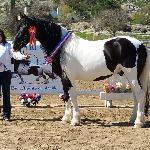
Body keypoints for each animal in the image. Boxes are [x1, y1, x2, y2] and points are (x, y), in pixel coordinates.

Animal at [12, 13, 150, 127]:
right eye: (18, 27)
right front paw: (66, 118)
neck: (63, 48)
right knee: (136, 95)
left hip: (131, 75)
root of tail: (141, 45)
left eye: (25, 28)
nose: (14, 46)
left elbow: (72, 96)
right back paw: (132, 119)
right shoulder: (64, 78)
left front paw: (75, 120)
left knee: (139, 94)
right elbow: (66, 96)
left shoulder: (69, 77)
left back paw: (138, 122)